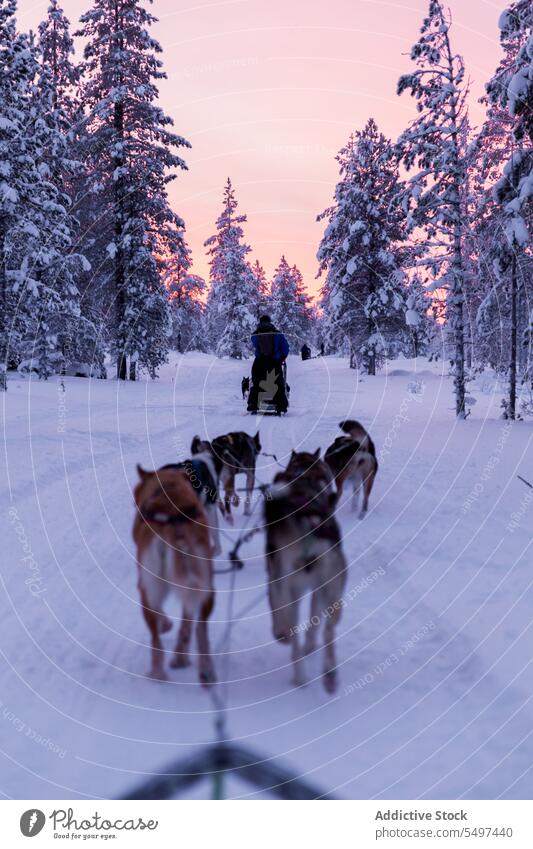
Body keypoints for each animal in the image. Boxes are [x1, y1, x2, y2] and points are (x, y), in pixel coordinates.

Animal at [132, 464, 215, 684]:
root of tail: (173, 523)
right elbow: (186, 624)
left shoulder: (145, 584)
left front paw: (166, 625)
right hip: (205, 587)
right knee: (200, 628)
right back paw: (200, 668)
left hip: (151, 587)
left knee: (157, 638)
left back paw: (158, 672)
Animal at [264, 448, 348, 692]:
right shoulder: (314, 589)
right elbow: (314, 623)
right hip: (331, 588)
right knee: (328, 630)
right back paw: (328, 675)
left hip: (288, 584)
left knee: (292, 632)